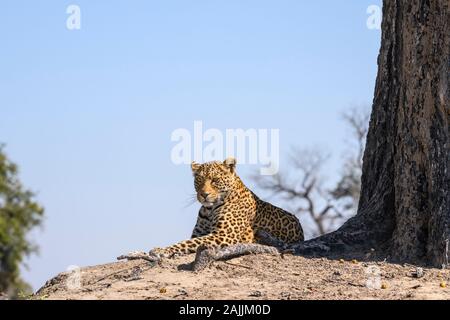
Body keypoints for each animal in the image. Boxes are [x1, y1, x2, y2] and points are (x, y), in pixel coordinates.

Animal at [150, 156, 302, 258]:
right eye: (199, 180)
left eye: (214, 180)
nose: (204, 194)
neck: (209, 210)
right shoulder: (199, 233)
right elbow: (190, 241)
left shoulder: (224, 235)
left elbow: (187, 243)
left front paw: (160, 250)